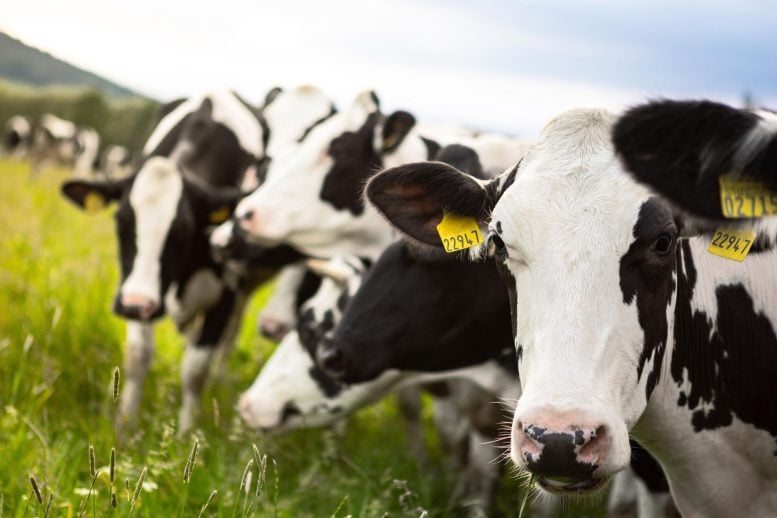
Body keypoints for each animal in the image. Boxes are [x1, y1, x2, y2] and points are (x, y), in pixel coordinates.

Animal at [60, 87, 337, 433]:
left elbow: (195, 369)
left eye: (182, 231)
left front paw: (185, 433)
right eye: (121, 222)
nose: (136, 304)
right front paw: (125, 428)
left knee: (228, 337)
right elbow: (138, 357)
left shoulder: (226, 295)